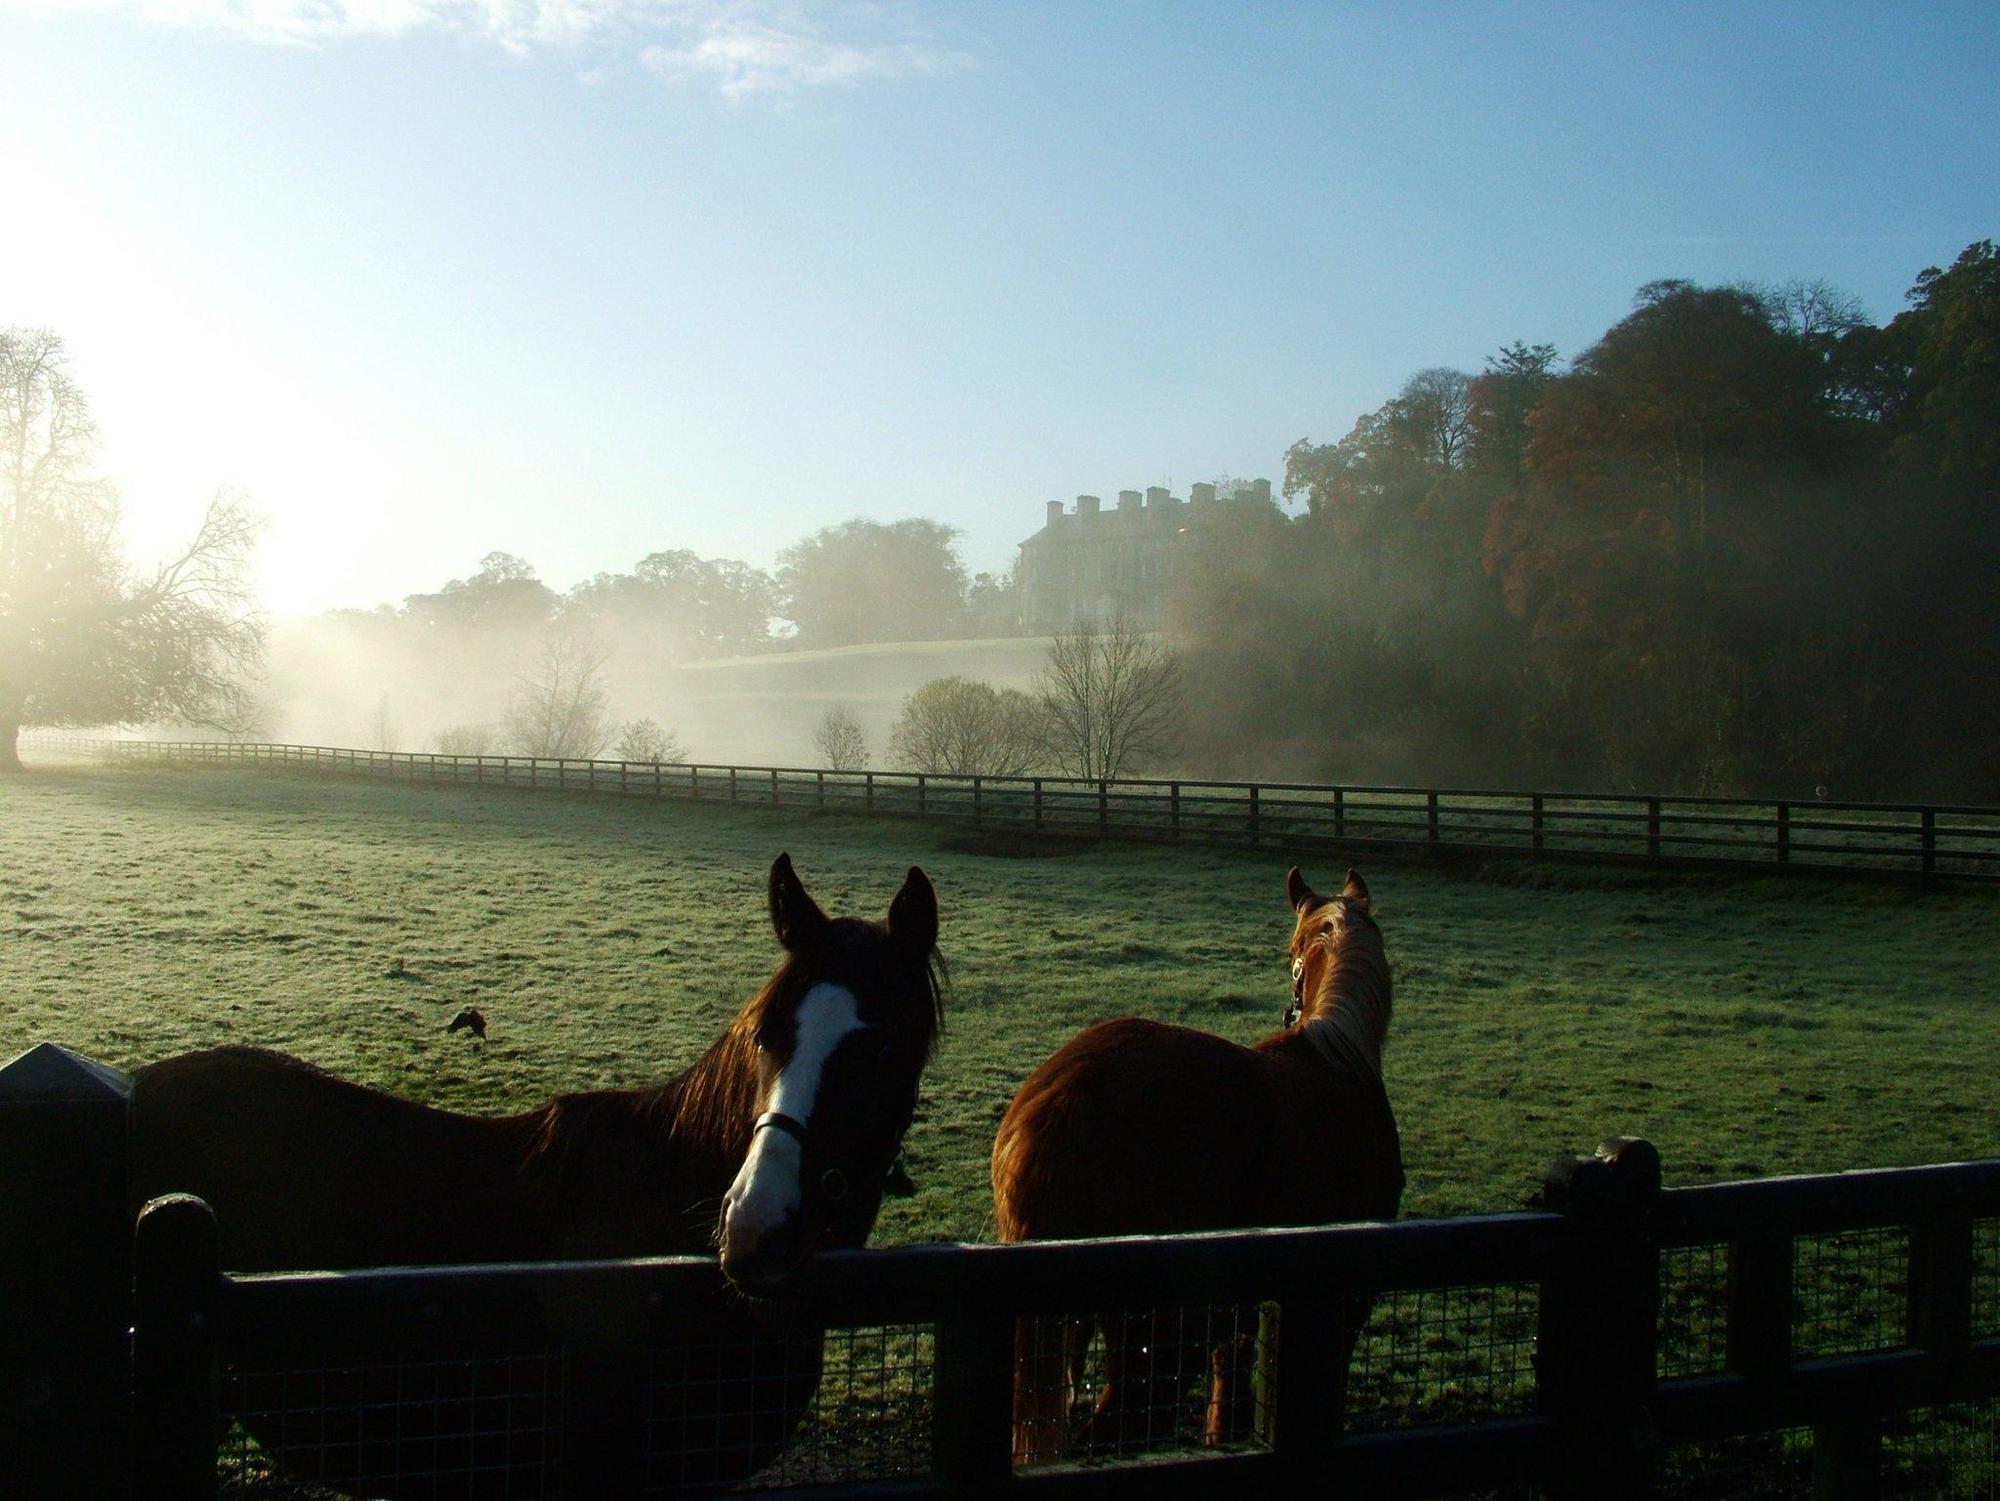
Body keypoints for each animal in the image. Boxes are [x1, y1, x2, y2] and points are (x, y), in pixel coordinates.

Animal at [992, 868, 1400, 1472]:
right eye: (1292, 954)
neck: (1338, 1062)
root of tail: (1066, 1097)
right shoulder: (1346, 1306)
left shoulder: (1236, 1324)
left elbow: (1225, 1408)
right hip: (1152, 1341)